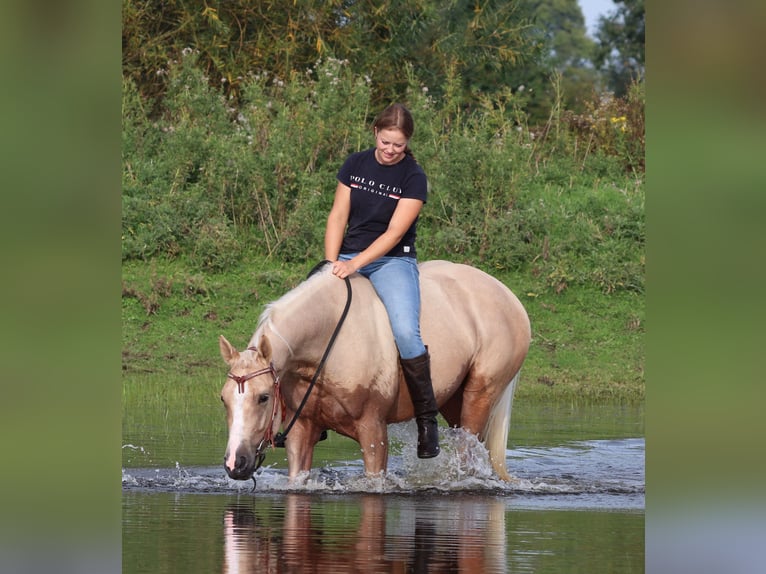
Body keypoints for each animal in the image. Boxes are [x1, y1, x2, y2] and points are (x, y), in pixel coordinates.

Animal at [220, 264, 536, 484]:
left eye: (263, 397)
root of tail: (509, 297)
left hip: (480, 396)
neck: (327, 341)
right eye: (224, 399)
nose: (236, 463)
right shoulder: (301, 430)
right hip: (453, 402)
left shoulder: (373, 430)